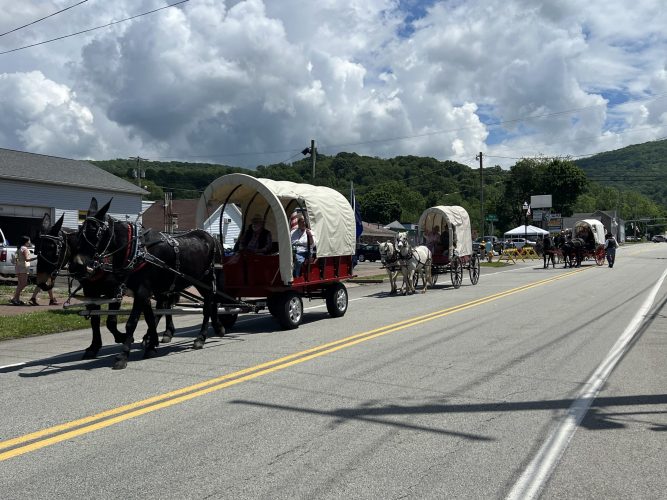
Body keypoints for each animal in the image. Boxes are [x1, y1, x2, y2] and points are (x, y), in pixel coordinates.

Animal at [70, 198, 224, 370]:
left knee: (208, 306)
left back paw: (201, 338)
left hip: (205, 280)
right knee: (207, 303)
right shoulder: (140, 290)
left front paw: (123, 355)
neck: (136, 250)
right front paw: (151, 344)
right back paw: (216, 328)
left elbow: (132, 323)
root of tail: (212, 237)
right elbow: (150, 317)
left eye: (93, 230)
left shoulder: (141, 290)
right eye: (79, 231)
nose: (76, 266)